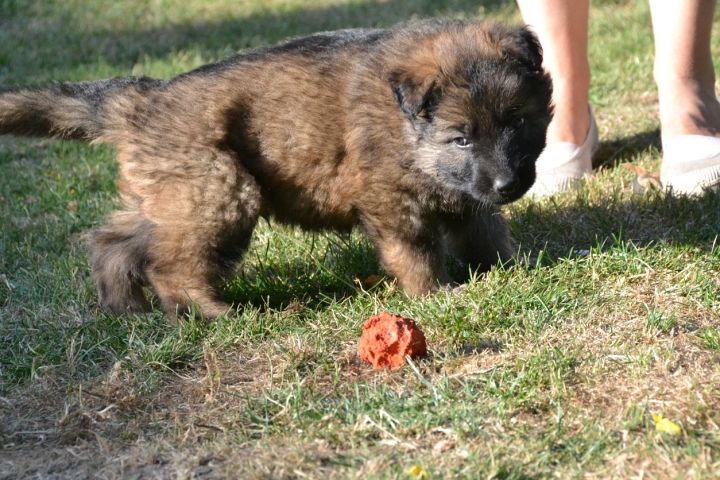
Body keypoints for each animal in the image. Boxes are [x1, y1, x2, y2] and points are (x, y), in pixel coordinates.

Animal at [0, 19, 552, 319]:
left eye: (517, 121)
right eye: (461, 138)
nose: (508, 183)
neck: (404, 123)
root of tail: (144, 101)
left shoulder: (469, 196)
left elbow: (485, 232)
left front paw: (513, 272)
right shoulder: (391, 201)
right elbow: (414, 252)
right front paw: (434, 296)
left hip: (172, 195)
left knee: (113, 243)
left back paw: (125, 309)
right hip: (218, 191)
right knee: (170, 265)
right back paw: (211, 314)